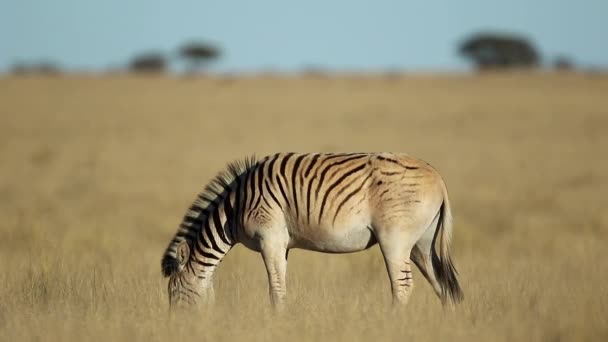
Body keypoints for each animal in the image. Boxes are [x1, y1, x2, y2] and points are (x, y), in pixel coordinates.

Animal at [160, 152, 460, 310]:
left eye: (173, 292)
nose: (177, 327)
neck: (236, 207)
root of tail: (438, 177)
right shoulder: (281, 244)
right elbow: (280, 285)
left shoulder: (269, 237)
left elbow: (275, 290)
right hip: (421, 243)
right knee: (442, 283)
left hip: (394, 239)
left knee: (403, 286)